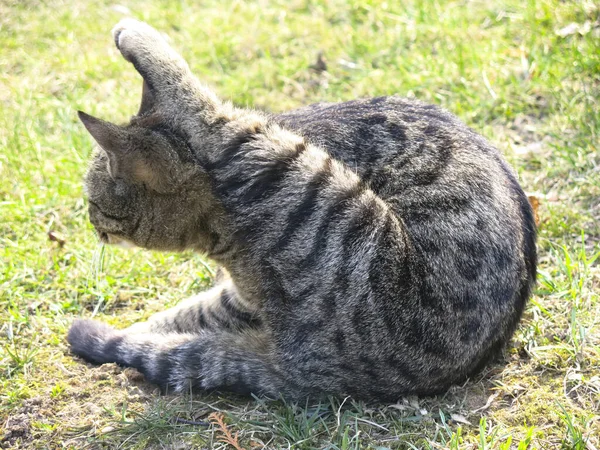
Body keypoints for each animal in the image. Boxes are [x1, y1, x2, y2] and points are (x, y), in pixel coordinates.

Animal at [68, 19, 536, 402]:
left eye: (92, 202)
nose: (91, 224)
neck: (217, 230)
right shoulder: (240, 295)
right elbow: (183, 314)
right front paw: (133, 330)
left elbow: (193, 98)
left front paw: (130, 33)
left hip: (295, 176)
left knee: (209, 112)